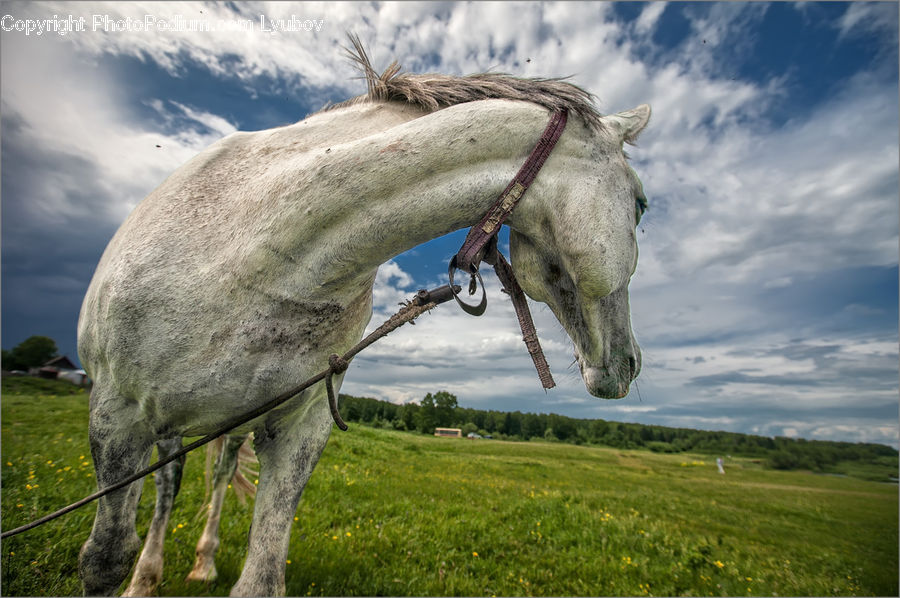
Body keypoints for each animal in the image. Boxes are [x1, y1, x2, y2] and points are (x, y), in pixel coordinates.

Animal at [77, 41, 652, 596]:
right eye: (642, 206)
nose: (630, 363)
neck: (256, 252)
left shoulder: (300, 428)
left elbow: (262, 575)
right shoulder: (116, 414)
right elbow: (105, 558)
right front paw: (132, 575)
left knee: (218, 474)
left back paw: (203, 565)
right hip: (165, 428)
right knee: (168, 485)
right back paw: (148, 578)